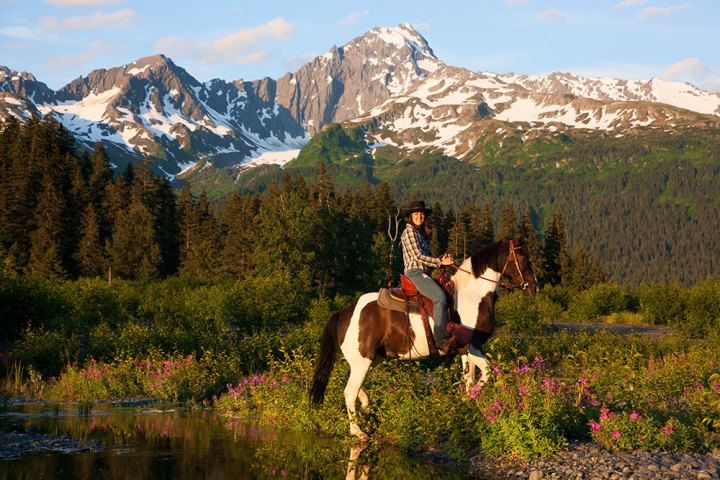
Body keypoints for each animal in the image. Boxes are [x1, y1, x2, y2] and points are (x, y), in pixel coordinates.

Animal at [306, 234, 536, 440]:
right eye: (523, 257)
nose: (534, 287)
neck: (473, 296)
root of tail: (343, 313)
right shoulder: (473, 345)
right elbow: (487, 373)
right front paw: (469, 399)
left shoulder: (465, 349)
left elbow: (469, 378)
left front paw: (466, 403)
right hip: (363, 361)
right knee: (349, 391)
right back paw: (357, 431)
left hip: (369, 359)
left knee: (350, 380)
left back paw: (367, 404)